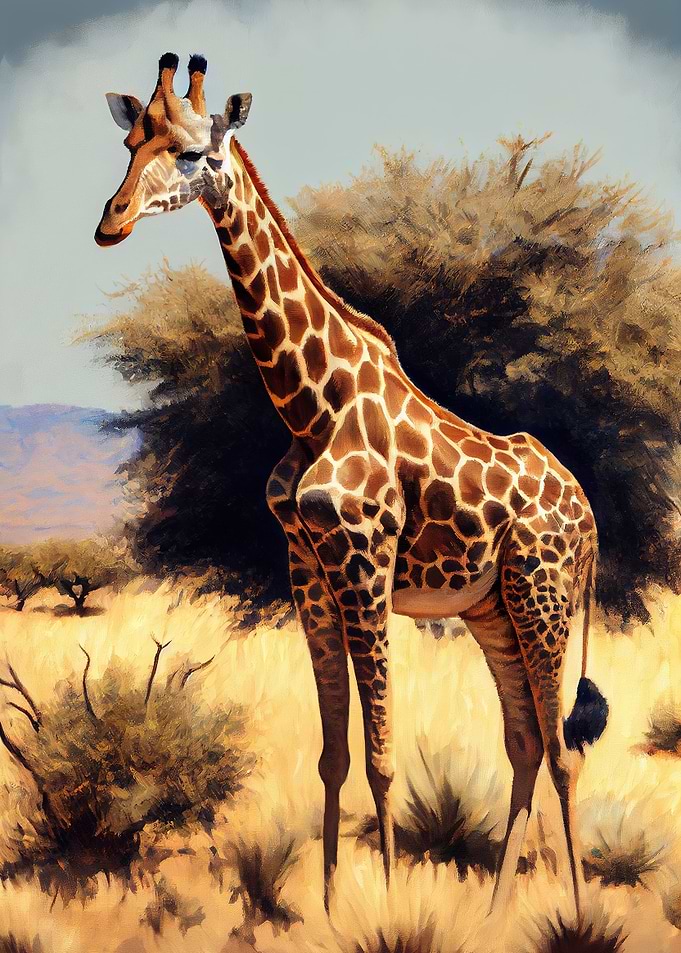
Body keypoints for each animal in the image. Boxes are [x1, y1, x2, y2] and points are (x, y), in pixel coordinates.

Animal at [95, 53, 609, 918]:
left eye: (195, 152)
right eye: (131, 143)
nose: (112, 221)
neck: (311, 406)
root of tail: (588, 514)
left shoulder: (365, 559)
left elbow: (381, 756)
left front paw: (392, 907)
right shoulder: (307, 567)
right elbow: (334, 754)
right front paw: (332, 906)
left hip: (543, 595)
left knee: (563, 749)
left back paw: (570, 912)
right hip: (491, 607)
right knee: (524, 740)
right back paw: (496, 909)